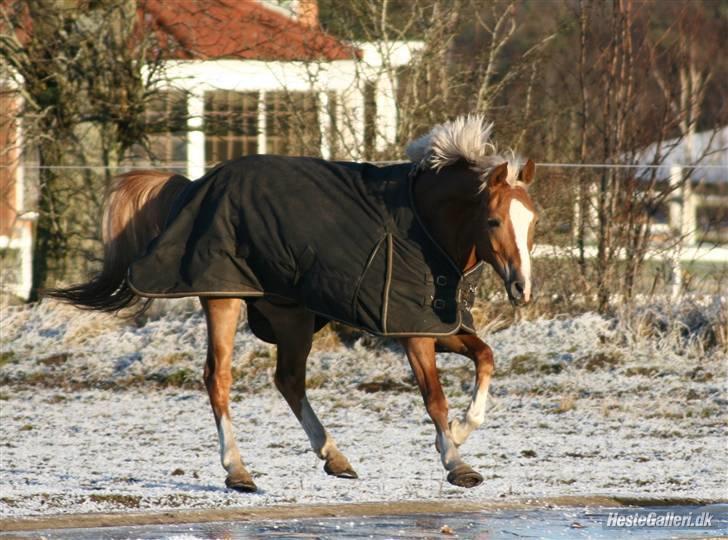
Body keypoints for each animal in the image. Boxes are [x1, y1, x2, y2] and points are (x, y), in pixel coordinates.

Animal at [45, 115, 536, 494]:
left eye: (532, 221)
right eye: (494, 220)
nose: (522, 288)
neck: (421, 224)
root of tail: (193, 185)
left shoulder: (438, 325)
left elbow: (487, 358)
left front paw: (460, 433)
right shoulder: (411, 330)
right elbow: (435, 398)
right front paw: (457, 462)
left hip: (292, 315)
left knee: (288, 380)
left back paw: (335, 458)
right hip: (224, 298)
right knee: (218, 378)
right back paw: (238, 472)